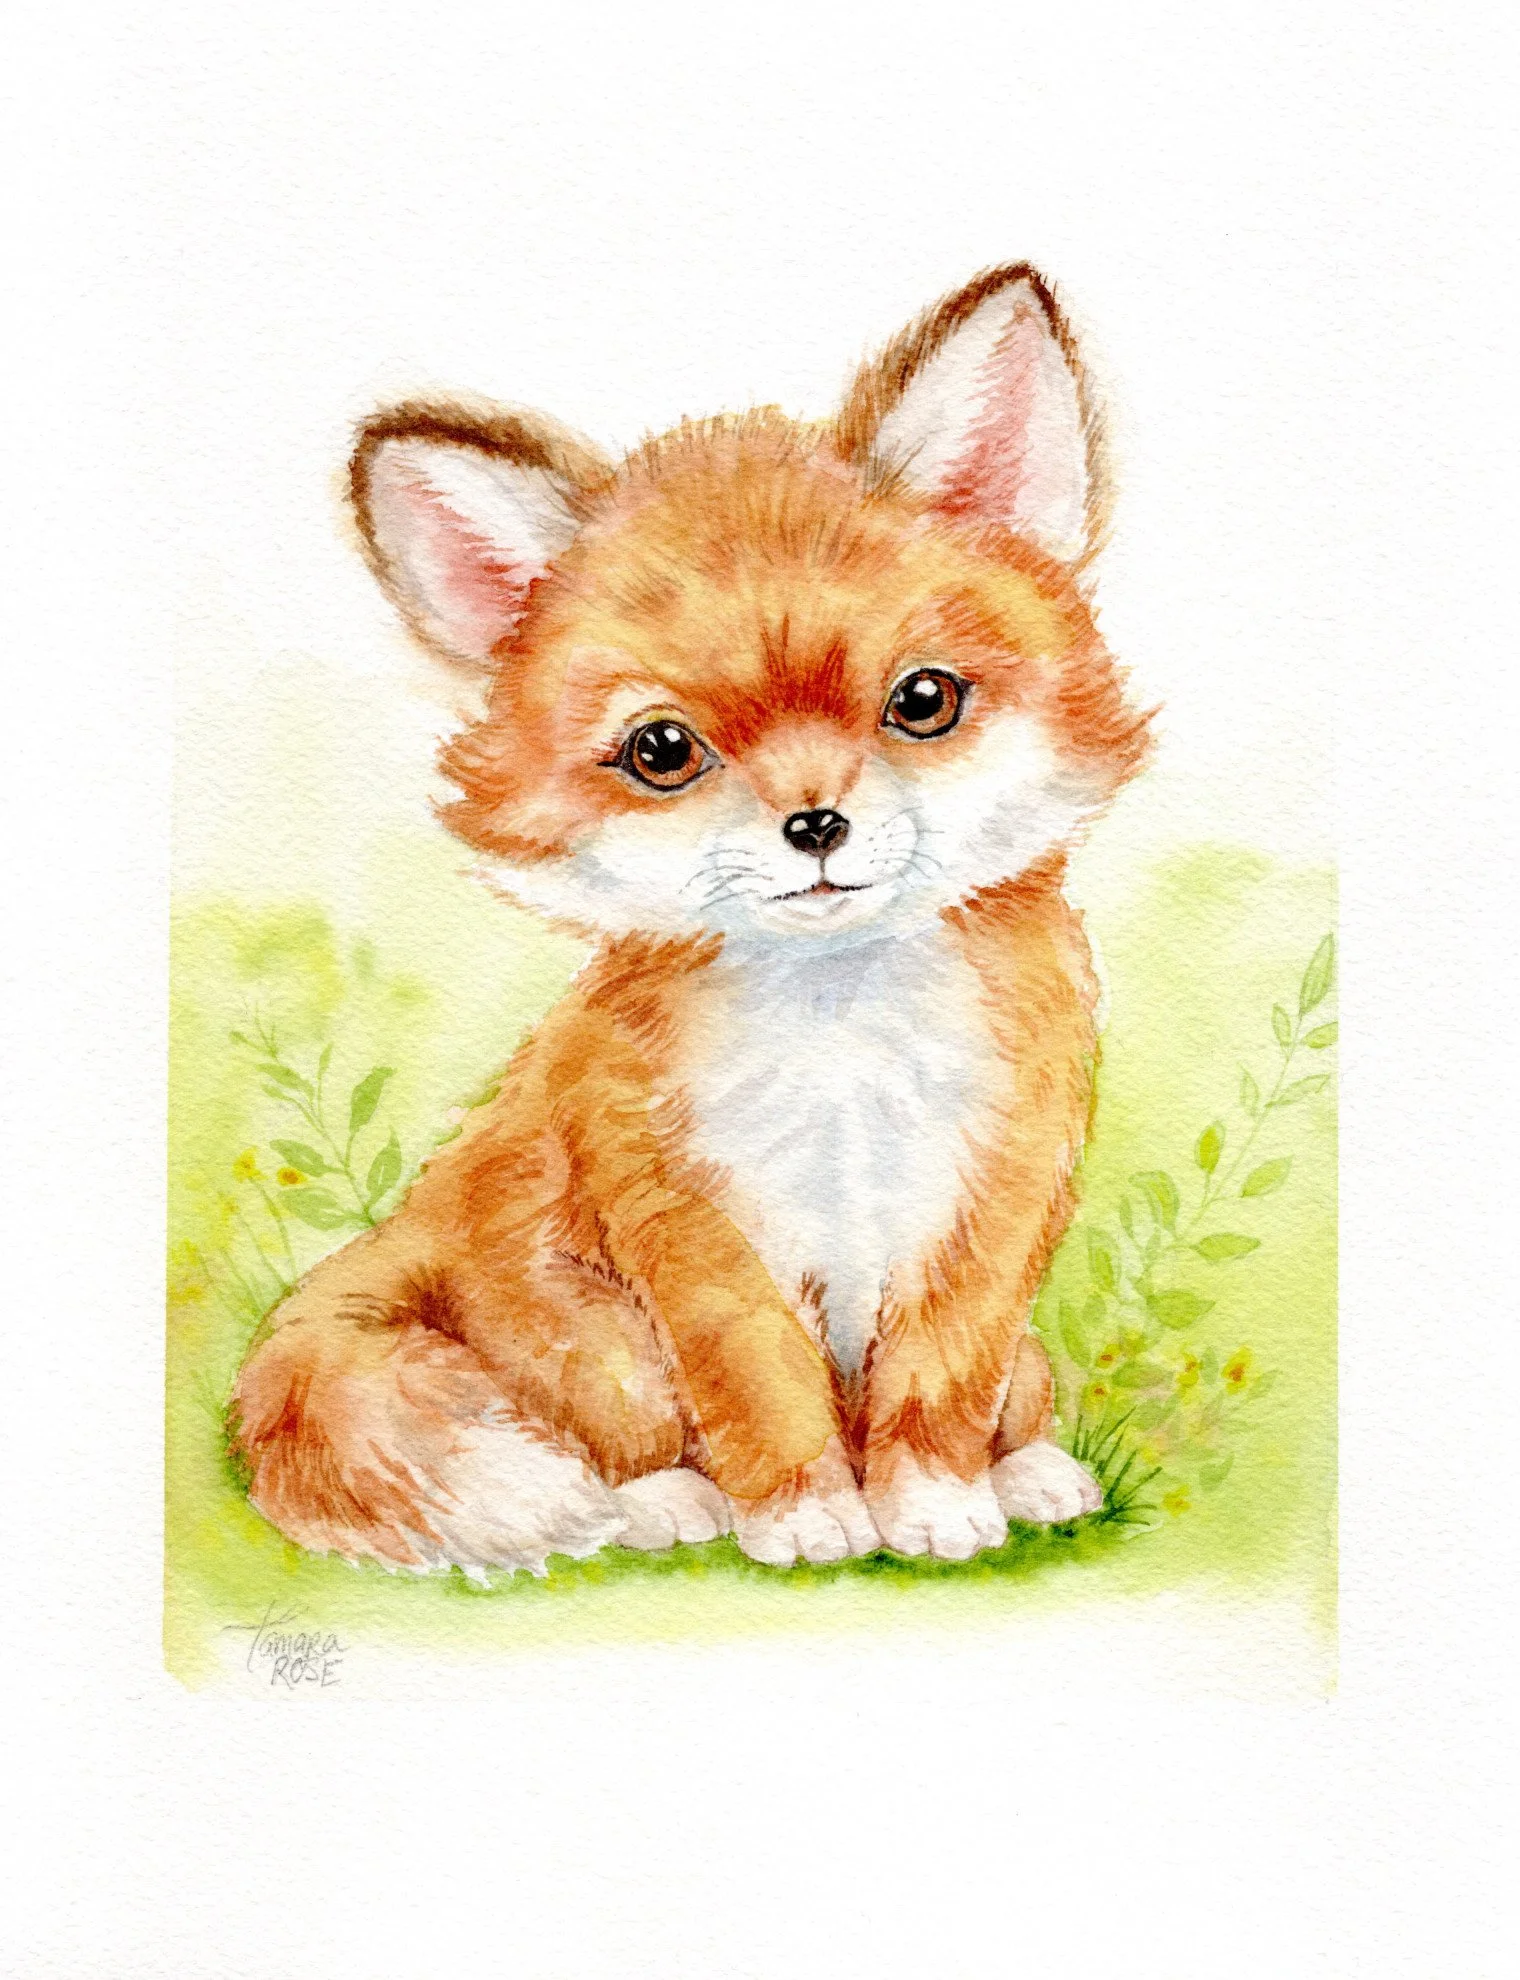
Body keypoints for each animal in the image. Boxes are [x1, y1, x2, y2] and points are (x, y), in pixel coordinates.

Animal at [230, 263, 1153, 1573]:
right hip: (596, 1335)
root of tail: (387, 1251)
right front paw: (808, 1515)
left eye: (922, 700)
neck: (842, 1042)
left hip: (1006, 1357)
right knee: (619, 1457)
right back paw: (664, 1506)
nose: (814, 825)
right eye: (662, 751)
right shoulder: (685, 1221)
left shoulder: (994, 1196)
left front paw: (930, 1506)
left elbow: (939, 1381)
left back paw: (1027, 1475)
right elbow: (760, 1386)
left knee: (1013, 1395)